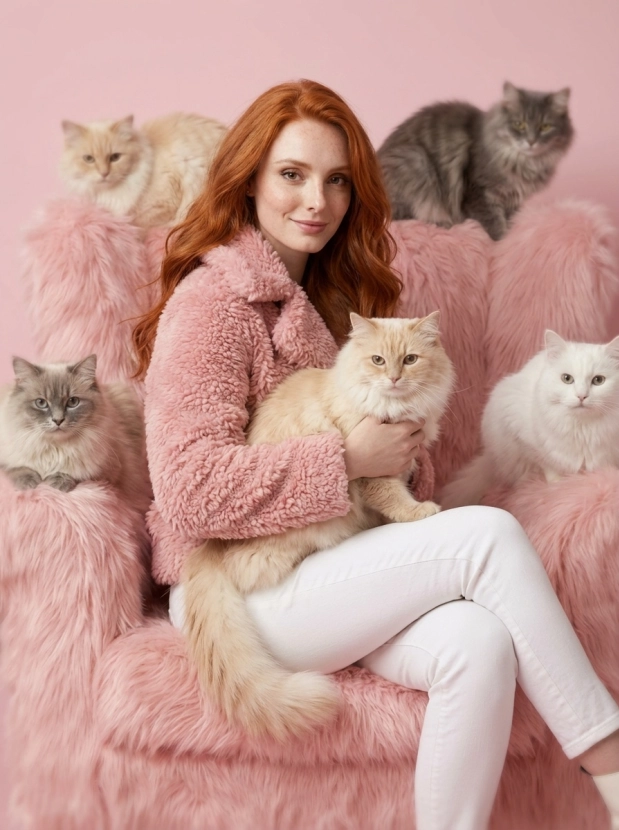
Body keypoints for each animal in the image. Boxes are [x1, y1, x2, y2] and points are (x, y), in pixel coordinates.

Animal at [0, 354, 151, 513]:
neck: (55, 448)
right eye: (41, 403)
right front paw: (29, 483)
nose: (58, 420)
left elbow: (76, 474)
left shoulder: (107, 474)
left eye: (72, 402)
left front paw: (55, 482)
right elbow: (16, 469)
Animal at [182, 312, 455, 740]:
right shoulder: (377, 475)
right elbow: (397, 502)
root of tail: (211, 546)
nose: (394, 378)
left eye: (410, 360)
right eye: (378, 361)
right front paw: (421, 511)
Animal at [377, 82, 574, 240]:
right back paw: (444, 223)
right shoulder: (480, 192)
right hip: (416, 162)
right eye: (519, 124)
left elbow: (509, 221)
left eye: (545, 127)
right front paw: (502, 243)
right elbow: (494, 223)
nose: (531, 141)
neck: (523, 164)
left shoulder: (512, 200)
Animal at [441, 330, 619, 509]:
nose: (581, 396)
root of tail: (489, 457)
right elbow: (549, 467)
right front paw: (557, 485)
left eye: (598, 380)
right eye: (567, 378)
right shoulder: (525, 440)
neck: (582, 429)